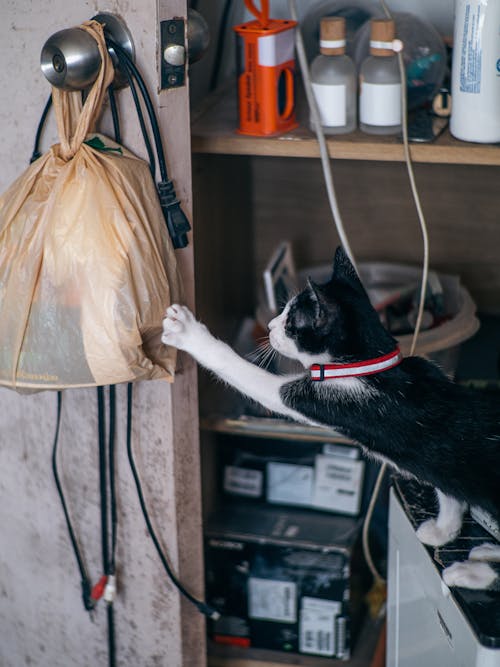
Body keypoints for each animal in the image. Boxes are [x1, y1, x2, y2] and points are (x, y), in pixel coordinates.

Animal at [162, 247, 498, 588]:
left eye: (290, 322)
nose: (269, 326)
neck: (371, 365)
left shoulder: (322, 399)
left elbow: (244, 372)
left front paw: (190, 334)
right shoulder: (439, 463)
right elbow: (450, 490)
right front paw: (444, 530)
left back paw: (473, 572)